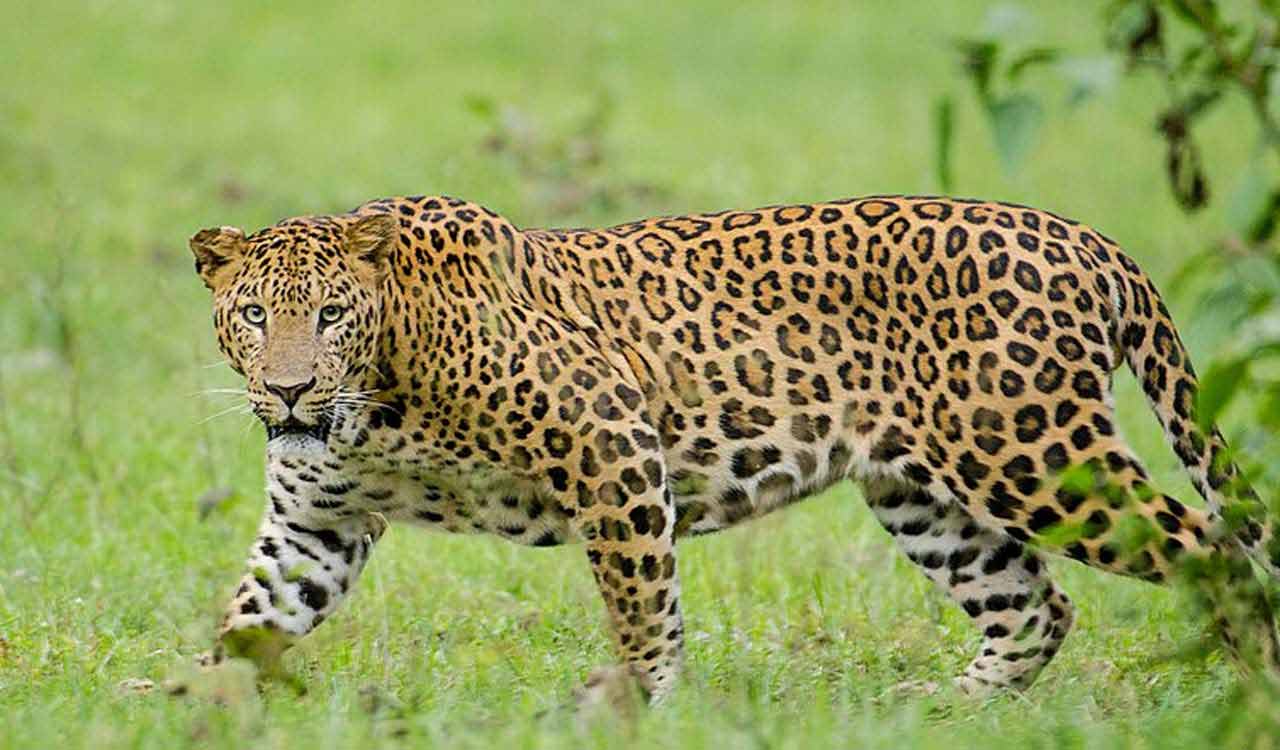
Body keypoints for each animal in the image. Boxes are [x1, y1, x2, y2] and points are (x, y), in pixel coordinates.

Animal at [189, 193, 1280, 704]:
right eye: (254, 315)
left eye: (331, 316)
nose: (289, 389)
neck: (373, 402)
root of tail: (1084, 237)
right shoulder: (315, 523)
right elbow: (250, 618)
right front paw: (187, 705)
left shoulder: (611, 440)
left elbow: (642, 605)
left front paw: (632, 706)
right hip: (923, 493)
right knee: (1034, 607)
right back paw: (942, 711)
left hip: (1032, 456)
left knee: (1215, 555)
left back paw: (1252, 694)